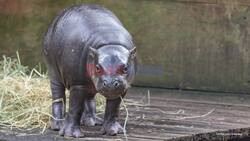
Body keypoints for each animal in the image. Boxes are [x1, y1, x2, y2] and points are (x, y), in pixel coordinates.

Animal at [43, 4, 137, 138]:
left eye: (125, 68)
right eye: (97, 67)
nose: (110, 83)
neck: (110, 44)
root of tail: (56, 18)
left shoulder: (123, 88)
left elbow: (113, 109)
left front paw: (113, 131)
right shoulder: (78, 84)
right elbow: (75, 108)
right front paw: (71, 134)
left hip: (89, 84)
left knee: (89, 99)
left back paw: (92, 121)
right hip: (54, 73)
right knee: (58, 97)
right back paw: (58, 125)